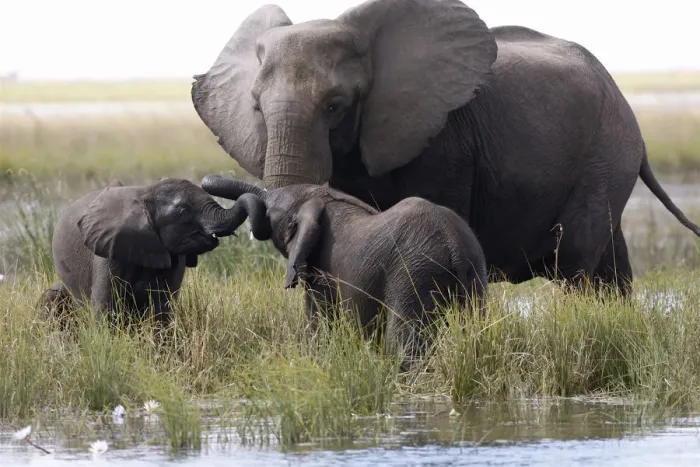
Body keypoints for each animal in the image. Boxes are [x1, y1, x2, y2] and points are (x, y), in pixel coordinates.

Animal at [191, 0, 700, 297]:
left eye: (336, 105)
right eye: (256, 107)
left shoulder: (445, 142)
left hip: (606, 151)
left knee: (576, 259)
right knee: (612, 268)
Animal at [200, 174, 489, 368]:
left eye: (271, 215)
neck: (322, 200)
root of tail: (454, 245)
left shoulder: (321, 271)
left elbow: (319, 323)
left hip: (414, 273)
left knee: (404, 343)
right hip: (475, 272)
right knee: (475, 328)